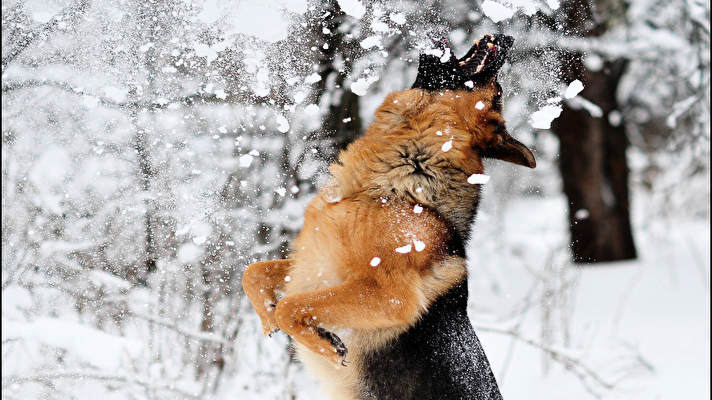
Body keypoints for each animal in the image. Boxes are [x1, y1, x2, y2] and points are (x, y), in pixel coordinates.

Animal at [243, 35, 536, 400]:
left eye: (497, 93)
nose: (508, 38)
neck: (398, 188)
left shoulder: (390, 296)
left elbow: (291, 306)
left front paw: (323, 344)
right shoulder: (313, 264)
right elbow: (254, 273)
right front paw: (267, 317)